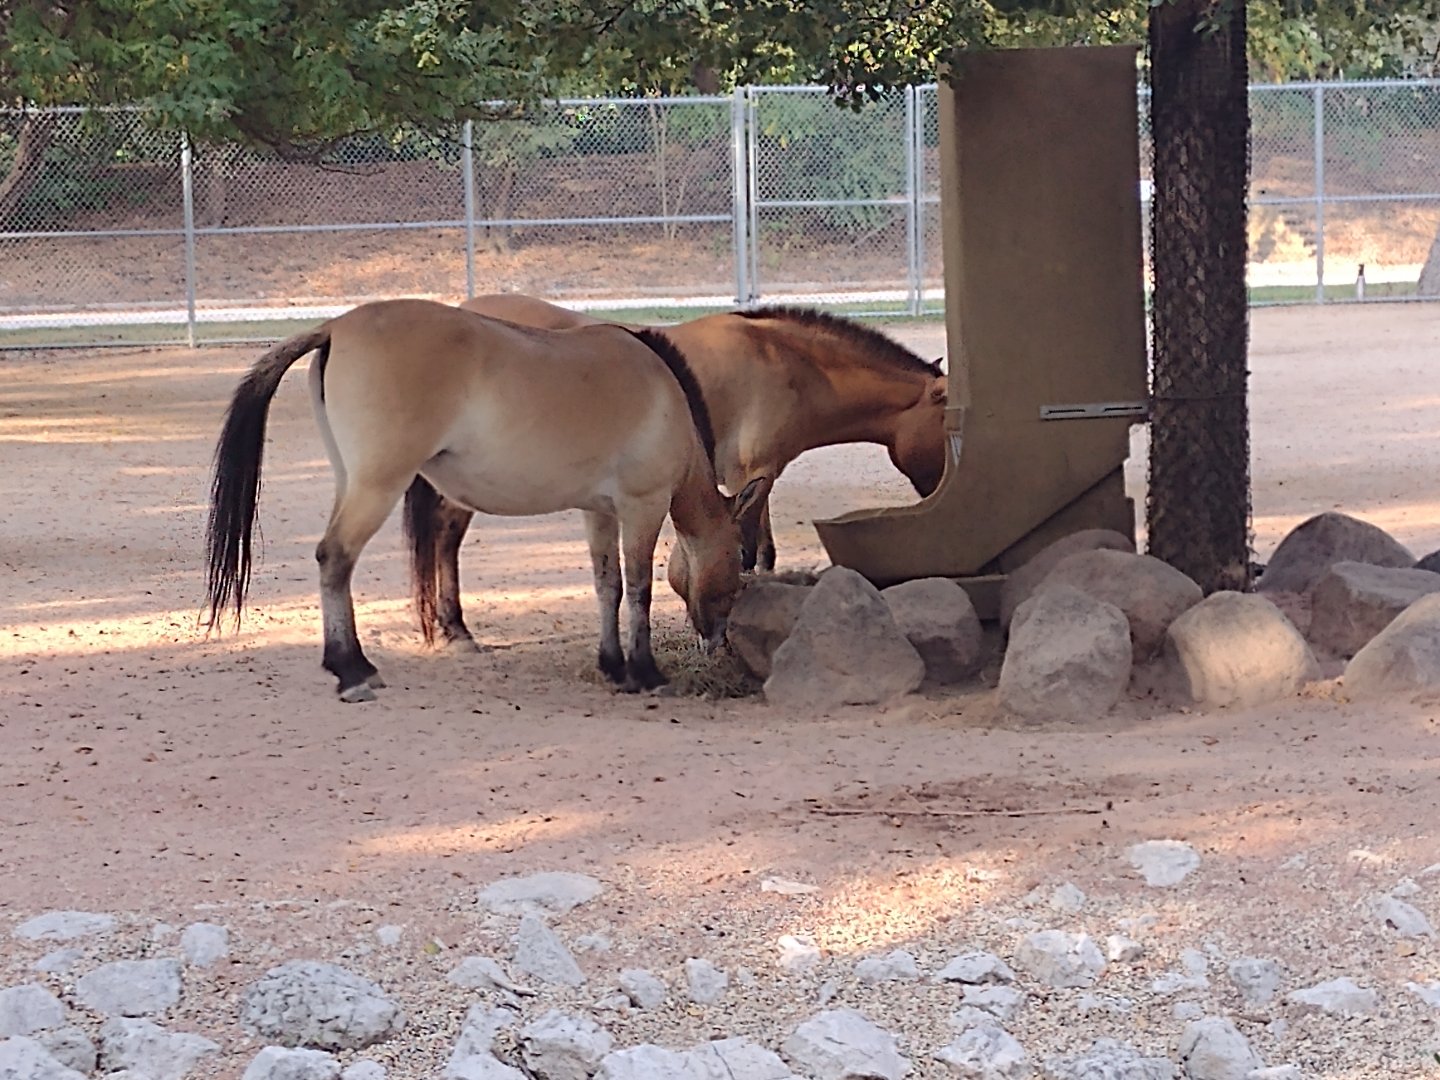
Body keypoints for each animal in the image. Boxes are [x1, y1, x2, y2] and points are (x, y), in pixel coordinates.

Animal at [204, 298, 762, 702]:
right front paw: (646, 672)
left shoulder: (599, 514)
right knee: (335, 558)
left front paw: (614, 667)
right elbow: (640, 589)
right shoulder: (641, 507)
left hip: (352, 481)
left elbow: (608, 587)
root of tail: (337, 326)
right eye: (738, 562)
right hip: (377, 487)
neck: (664, 395)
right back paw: (354, 671)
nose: (717, 642)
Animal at [404, 293, 949, 652]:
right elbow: (748, 549)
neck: (789, 365)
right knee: (446, 536)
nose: (940, 491)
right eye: (950, 428)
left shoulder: (757, 477)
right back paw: (457, 630)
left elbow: (761, 549)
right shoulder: (752, 473)